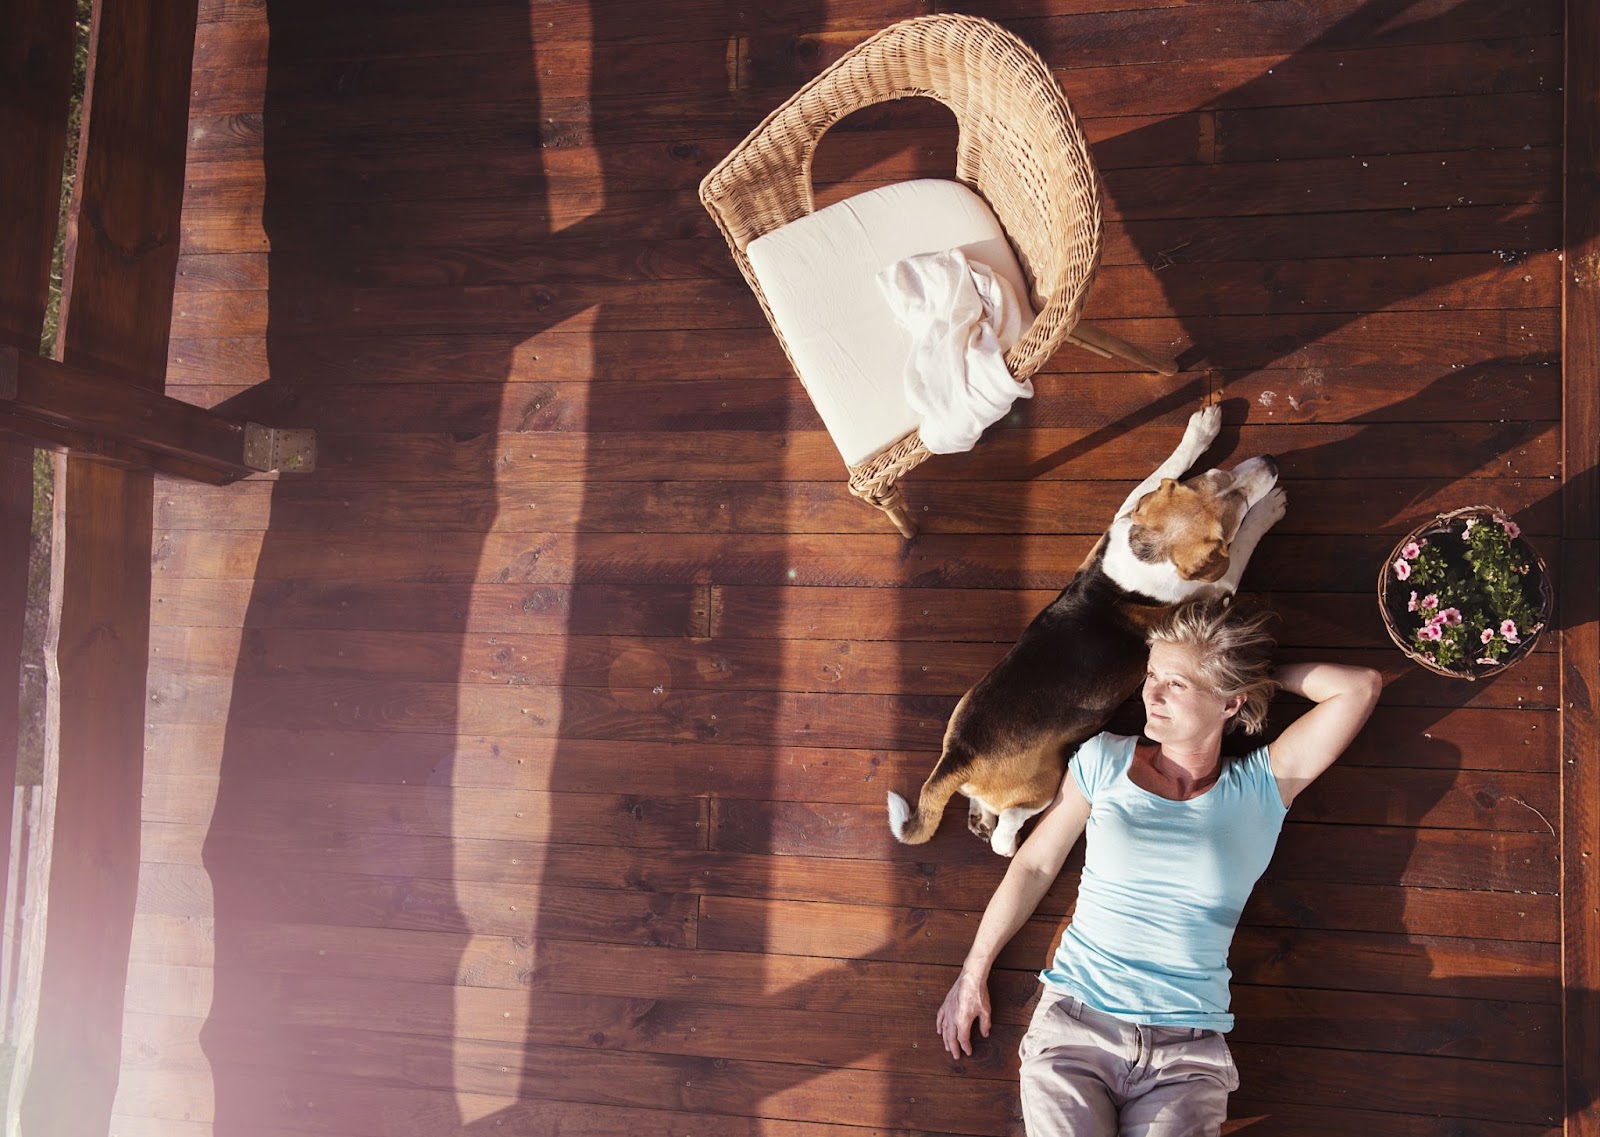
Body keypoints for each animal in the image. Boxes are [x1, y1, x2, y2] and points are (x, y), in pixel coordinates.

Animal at [889, 404, 1286, 857]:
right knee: (1011, 824)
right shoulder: (1219, 586)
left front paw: (1201, 431)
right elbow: (1240, 553)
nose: (1270, 462)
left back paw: (980, 819)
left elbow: (1160, 472)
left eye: (1220, 473)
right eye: (1235, 514)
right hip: (1044, 784)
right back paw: (1008, 841)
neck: (1150, 554)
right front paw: (1268, 510)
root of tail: (960, 756)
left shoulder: (1124, 516)